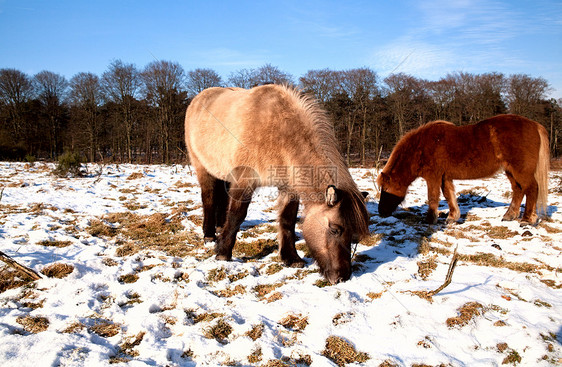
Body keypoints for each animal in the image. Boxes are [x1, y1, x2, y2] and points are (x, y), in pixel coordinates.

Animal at [184, 84, 368, 284]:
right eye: (335, 230)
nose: (343, 277)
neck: (279, 131)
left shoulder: (288, 187)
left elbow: (287, 220)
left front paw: (291, 258)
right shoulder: (245, 180)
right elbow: (236, 215)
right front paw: (223, 253)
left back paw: (219, 227)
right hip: (202, 168)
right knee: (209, 199)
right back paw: (210, 234)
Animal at [376, 114, 548, 224]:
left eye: (386, 189)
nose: (381, 212)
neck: (420, 147)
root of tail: (534, 125)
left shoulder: (433, 177)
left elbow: (433, 197)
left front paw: (430, 219)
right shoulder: (445, 177)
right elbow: (448, 195)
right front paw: (452, 217)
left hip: (521, 171)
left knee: (531, 188)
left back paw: (527, 219)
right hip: (510, 171)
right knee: (518, 190)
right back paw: (510, 215)